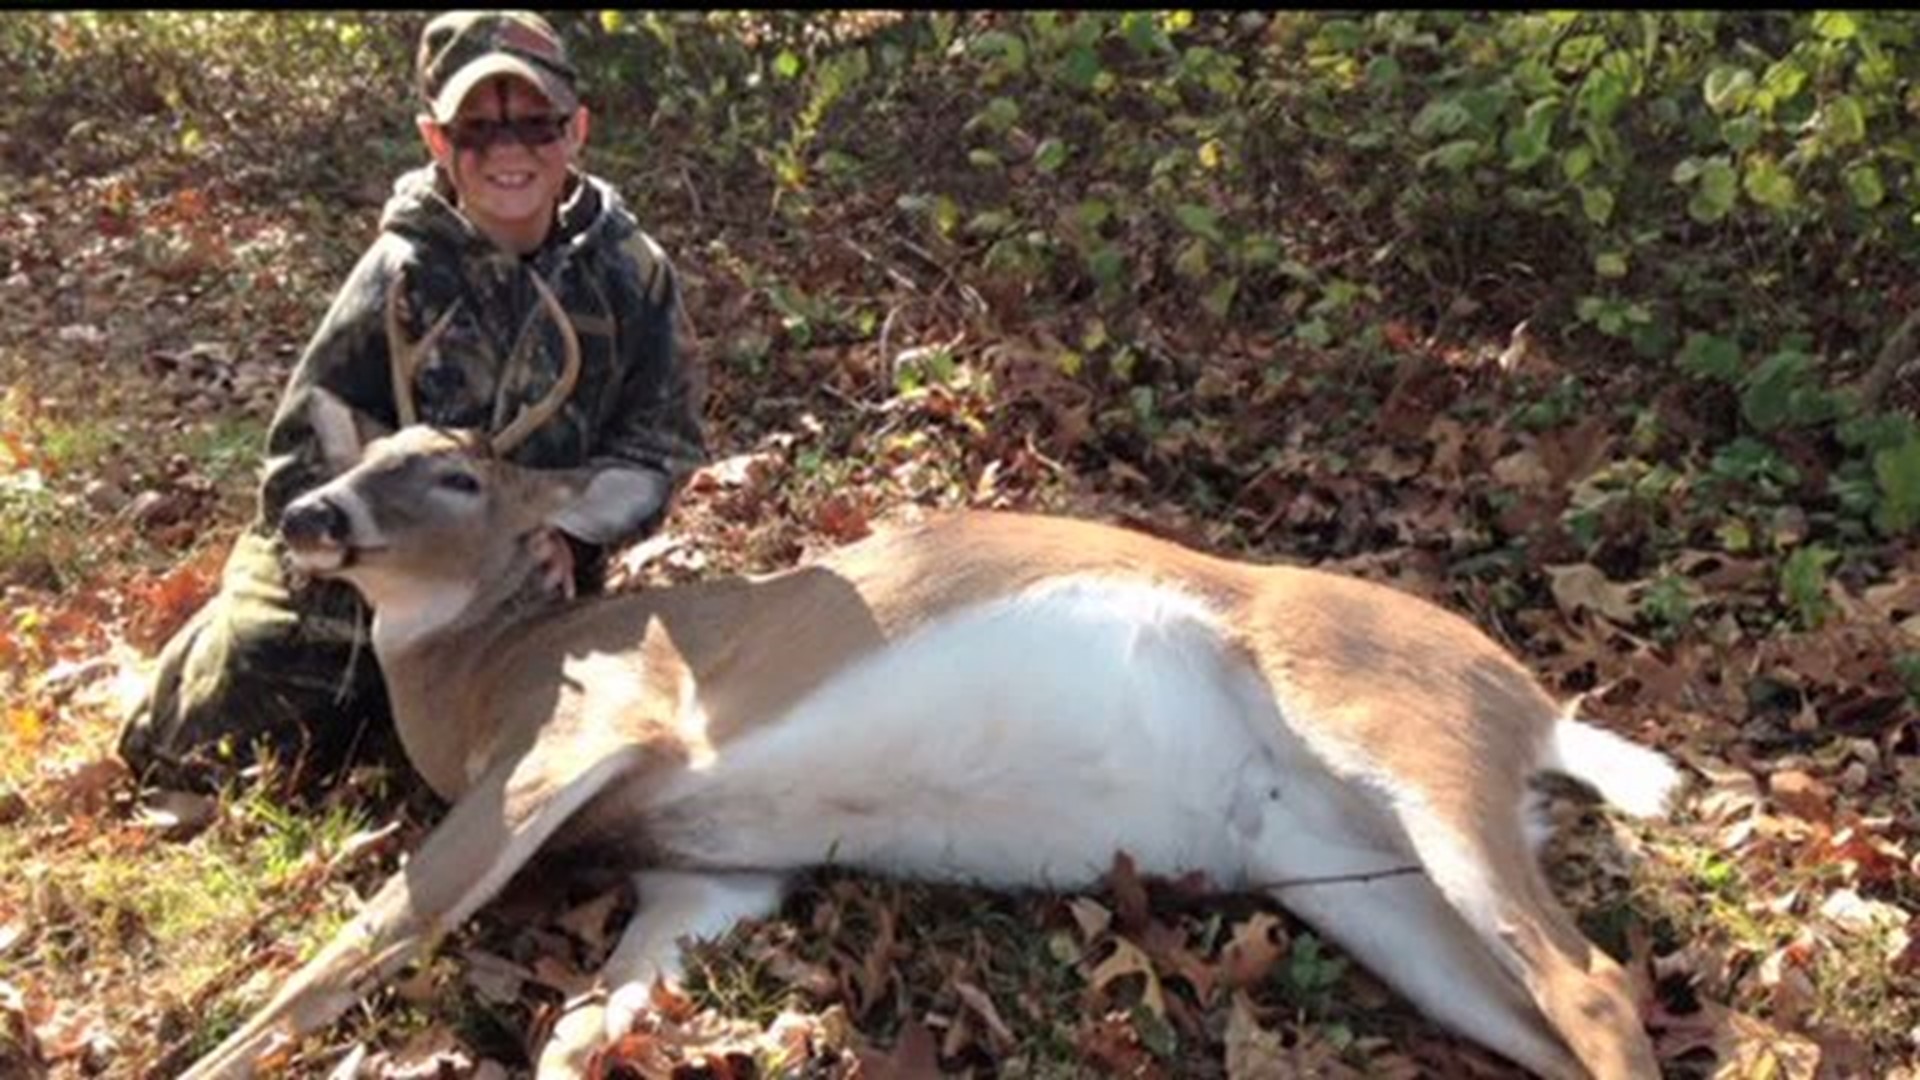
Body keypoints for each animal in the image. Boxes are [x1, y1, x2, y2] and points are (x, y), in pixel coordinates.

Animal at [179, 274, 1684, 1080]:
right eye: (368, 452)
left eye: (453, 474)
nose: (311, 513)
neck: (483, 677)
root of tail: (1539, 709)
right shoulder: (713, 878)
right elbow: (575, 1034)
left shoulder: (595, 726)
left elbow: (359, 947)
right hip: (1359, 882)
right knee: (1562, 1010)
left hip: (1400, 732)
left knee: (1601, 983)